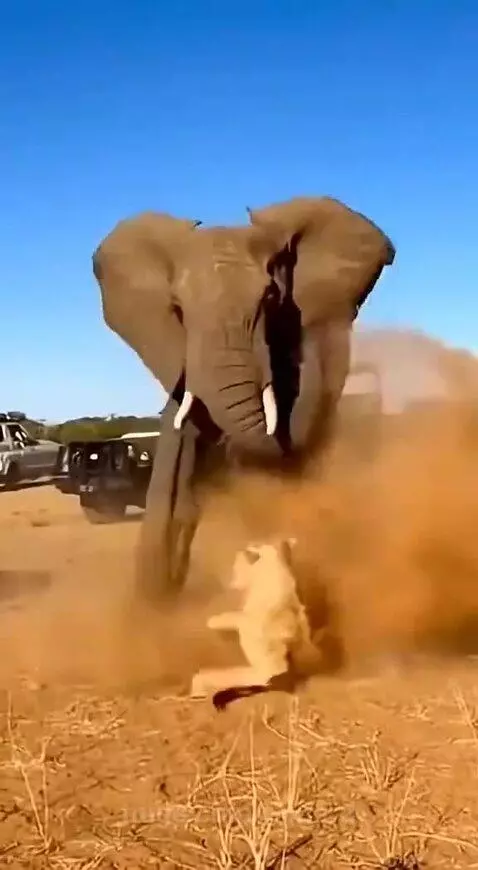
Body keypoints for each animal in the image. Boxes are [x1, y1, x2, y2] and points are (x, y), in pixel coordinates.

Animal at [190, 536, 321, 701]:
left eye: (236, 566)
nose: (232, 581)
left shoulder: (249, 618)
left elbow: (233, 618)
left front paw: (213, 621)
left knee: (203, 678)